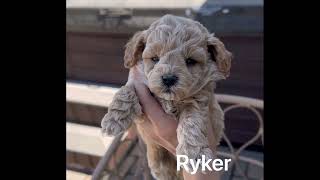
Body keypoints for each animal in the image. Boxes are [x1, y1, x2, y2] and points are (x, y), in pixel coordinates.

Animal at [101, 14, 231, 180]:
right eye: (155, 58)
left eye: (190, 61)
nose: (168, 79)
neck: (170, 100)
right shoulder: (138, 82)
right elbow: (126, 91)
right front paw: (114, 119)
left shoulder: (199, 98)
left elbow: (192, 121)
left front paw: (194, 154)